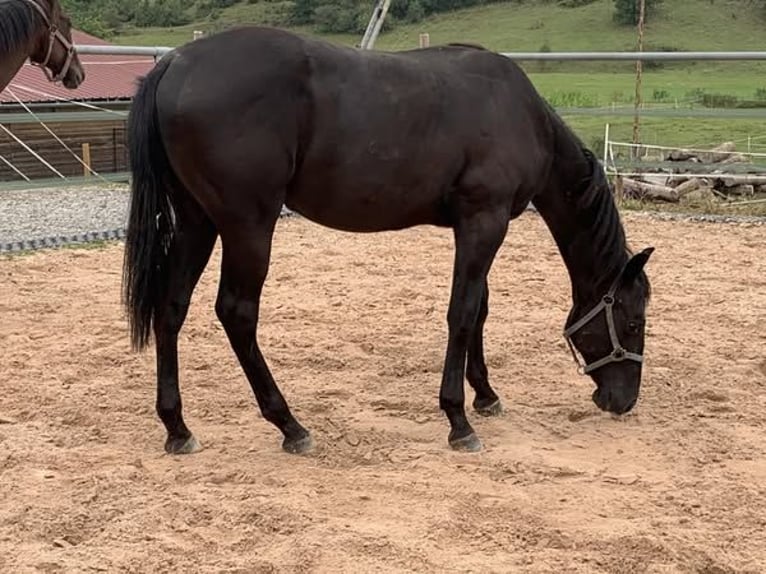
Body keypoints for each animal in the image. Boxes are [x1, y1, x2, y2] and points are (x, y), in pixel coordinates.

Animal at [122, 26, 654, 455]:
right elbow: (462, 314)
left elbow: (479, 309)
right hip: (247, 225)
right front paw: (458, 420)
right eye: (632, 322)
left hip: (197, 222)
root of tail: (175, 63)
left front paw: (485, 396)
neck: (518, 112)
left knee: (172, 308)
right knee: (237, 313)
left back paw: (177, 427)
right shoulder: (484, 220)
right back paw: (290, 425)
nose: (622, 401)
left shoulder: (480, 225)